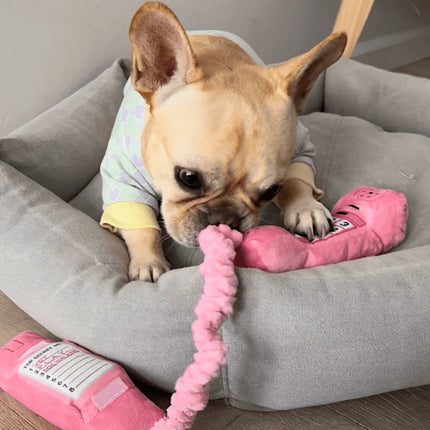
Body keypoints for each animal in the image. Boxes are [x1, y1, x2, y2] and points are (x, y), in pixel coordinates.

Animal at [100, 2, 346, 282]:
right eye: (188, 178)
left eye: (272, 191)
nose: (225, 219)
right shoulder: (123, 180)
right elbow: (141, 226)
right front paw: (148, 261)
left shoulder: (301, 146)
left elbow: (297, 181)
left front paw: (306, 208)